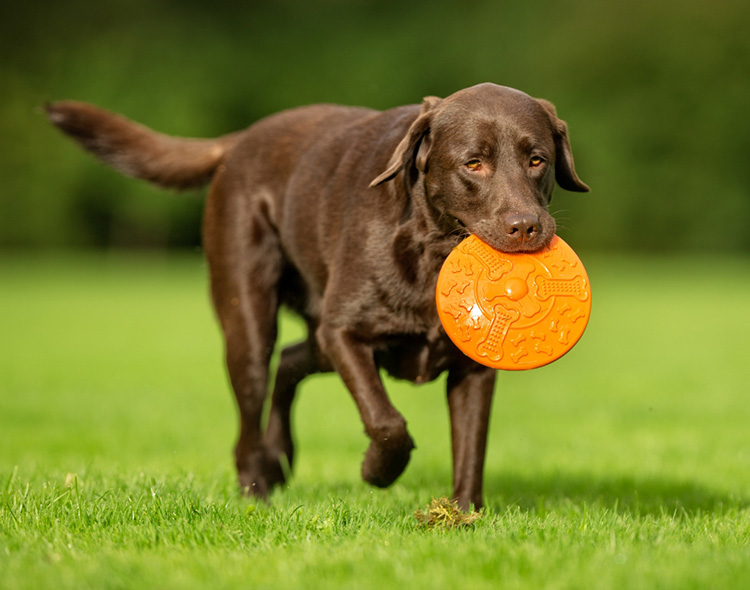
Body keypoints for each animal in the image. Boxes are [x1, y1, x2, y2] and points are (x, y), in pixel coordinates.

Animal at [47, 81, 592, 512]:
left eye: (537, 160)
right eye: (473, 163)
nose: (526, 227)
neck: (432, 250)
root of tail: (241, 140)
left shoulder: (473, 368)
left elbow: (471, 445)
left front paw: (462, 515)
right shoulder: (344, 332)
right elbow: (386, 421)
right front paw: (377, 471)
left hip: (313, 337)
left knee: (290, 362)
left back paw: (280, 457)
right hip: (250, 321)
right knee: (253, 404)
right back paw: (256, 488)